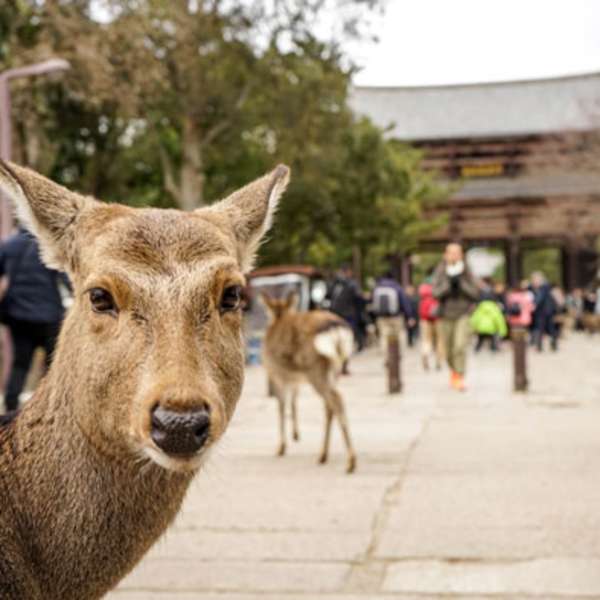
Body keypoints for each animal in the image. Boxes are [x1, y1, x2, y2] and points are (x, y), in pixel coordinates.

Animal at [262, 294, 356, 474]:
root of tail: (336, 329)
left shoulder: (277, 374)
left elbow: (281, 407)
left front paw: (281, 447)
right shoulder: (294, 380)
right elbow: (293, 402)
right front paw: (295, 435)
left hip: (315, 368)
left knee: (336, 400)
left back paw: (351, 462)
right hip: (334, 369)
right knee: (330, 406)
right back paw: (323, 455)